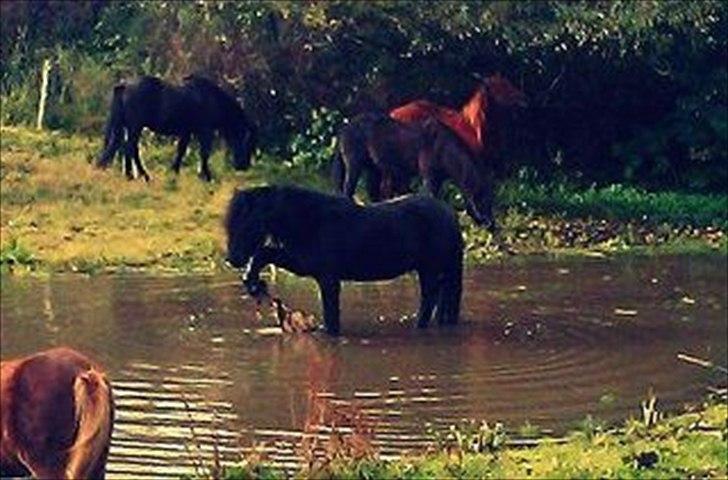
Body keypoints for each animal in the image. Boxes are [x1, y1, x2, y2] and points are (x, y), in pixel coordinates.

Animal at [97, 74, 257, 181]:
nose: (243, 166)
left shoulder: (187, 132)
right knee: (131, 148)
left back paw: (130, 175)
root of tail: (124, 85)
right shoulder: (205, 131)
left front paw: (174, 171)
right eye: (248, 142)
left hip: (125, 127)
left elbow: (181, 150)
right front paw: (206, 176)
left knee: (123, 147)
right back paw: (144, 176)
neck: (210, 98)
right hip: (135, 127)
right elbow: (204, 153)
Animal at [225, 185, 463, 335]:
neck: (311, 220)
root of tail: (448, 212)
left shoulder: (328, 278)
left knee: (429, 298)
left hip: (430, 270)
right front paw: (251, 280)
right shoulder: (304, 263)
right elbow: (264, 253)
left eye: (246, 222)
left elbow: (332, 315)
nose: (232, 259)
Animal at [331, 113, 497, 230]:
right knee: (347, 190)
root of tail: (345, 127)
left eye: (491, 201)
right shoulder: (429, 177)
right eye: (484, 201)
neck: (444, 150)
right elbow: (431, 198)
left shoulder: (436, 179)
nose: (492, 226)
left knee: (373, 195)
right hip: (354, 166)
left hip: (374, 171)